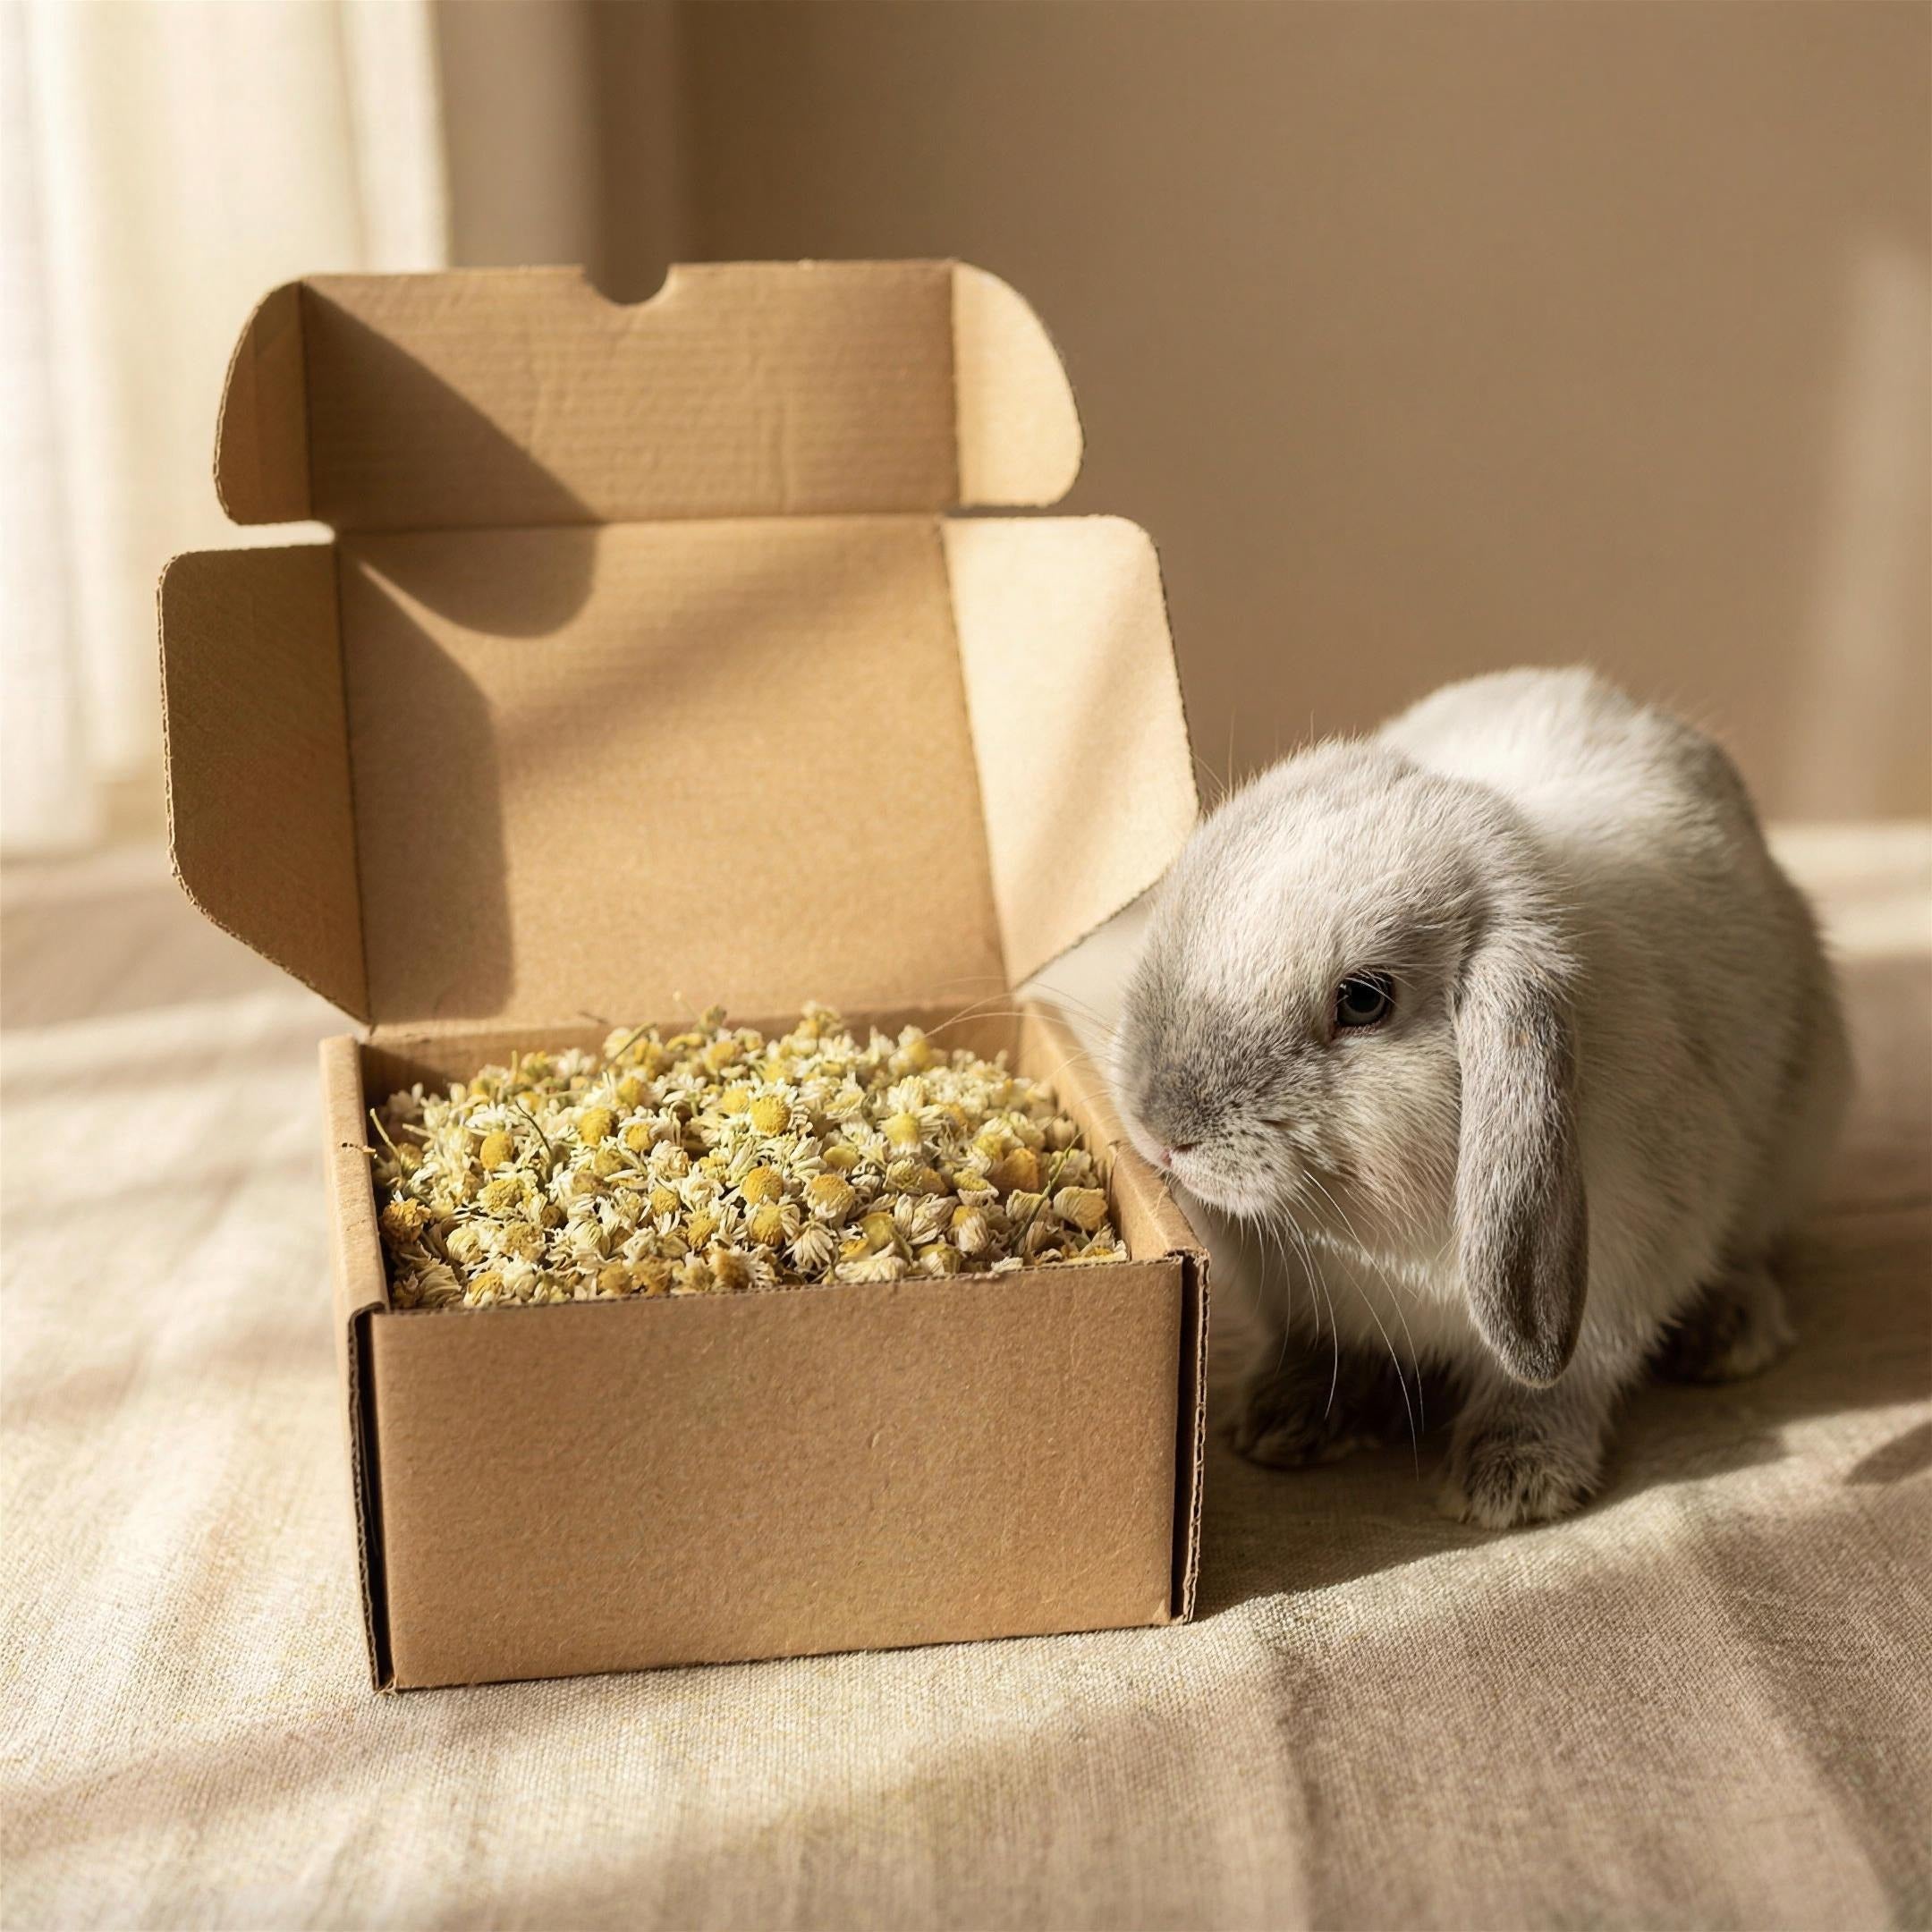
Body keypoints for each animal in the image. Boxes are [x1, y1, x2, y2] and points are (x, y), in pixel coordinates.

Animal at [1110, 667, 1849, 1528]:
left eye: (1364, 1000)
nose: (1162, 1130)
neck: (1364, 1235)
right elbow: (1330, 1350)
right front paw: (1285, 1421)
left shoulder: (1616, 1276)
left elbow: (1558, 1383)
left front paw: (1511, 1483)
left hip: (1796, 1143)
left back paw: (1730, 1331)